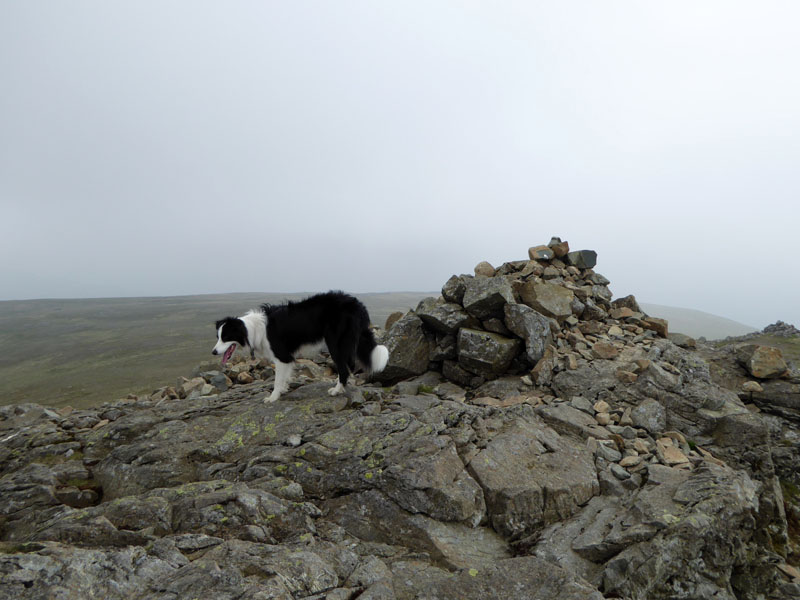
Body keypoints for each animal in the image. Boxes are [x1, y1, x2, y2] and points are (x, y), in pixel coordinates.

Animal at [211, 292, 390, 404]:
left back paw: (336, 390)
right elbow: (284, 377)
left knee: (344, 368)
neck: (251, 329)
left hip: (335, 342)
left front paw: (273, 397)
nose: (213, 352)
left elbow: (277, 380)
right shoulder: (286, 358)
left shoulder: (282, 356)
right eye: (217, 337)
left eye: (225, 337)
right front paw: (283, 390)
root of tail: (357, 304)